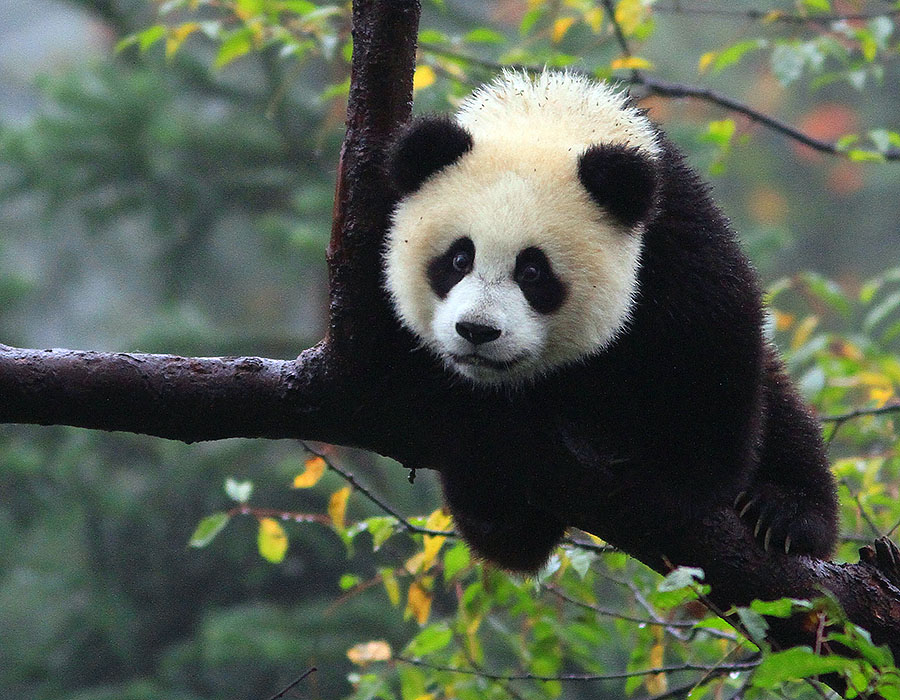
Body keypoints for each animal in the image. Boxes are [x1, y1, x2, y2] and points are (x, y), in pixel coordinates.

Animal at [383, 70, 838, 573]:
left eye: (533, 272)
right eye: (459, 259)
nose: (477, 331)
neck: (546, 117)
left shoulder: (672, 237)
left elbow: (711, 345)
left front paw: (670, 488)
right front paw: (492, 493)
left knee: (783, 414)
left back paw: (784, 513)